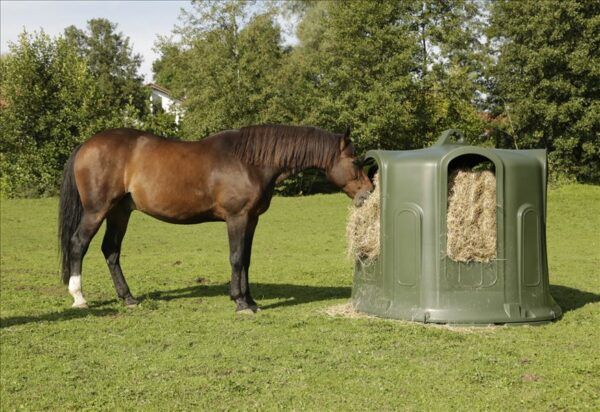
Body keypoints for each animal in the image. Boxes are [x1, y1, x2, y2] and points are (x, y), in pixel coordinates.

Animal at [58, 125, 372, 312]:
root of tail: (86, 145)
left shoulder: (251, 220)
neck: (250, 162)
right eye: (355, 160)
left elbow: (246, 259)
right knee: (78, 244)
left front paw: (249, 299)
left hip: (120, 212)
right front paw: (241, 303)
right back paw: (79, 297)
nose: (369, 191)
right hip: (97, 210)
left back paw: (128, 298)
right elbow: (236, 258)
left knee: (111, 250)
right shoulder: (237, 218)